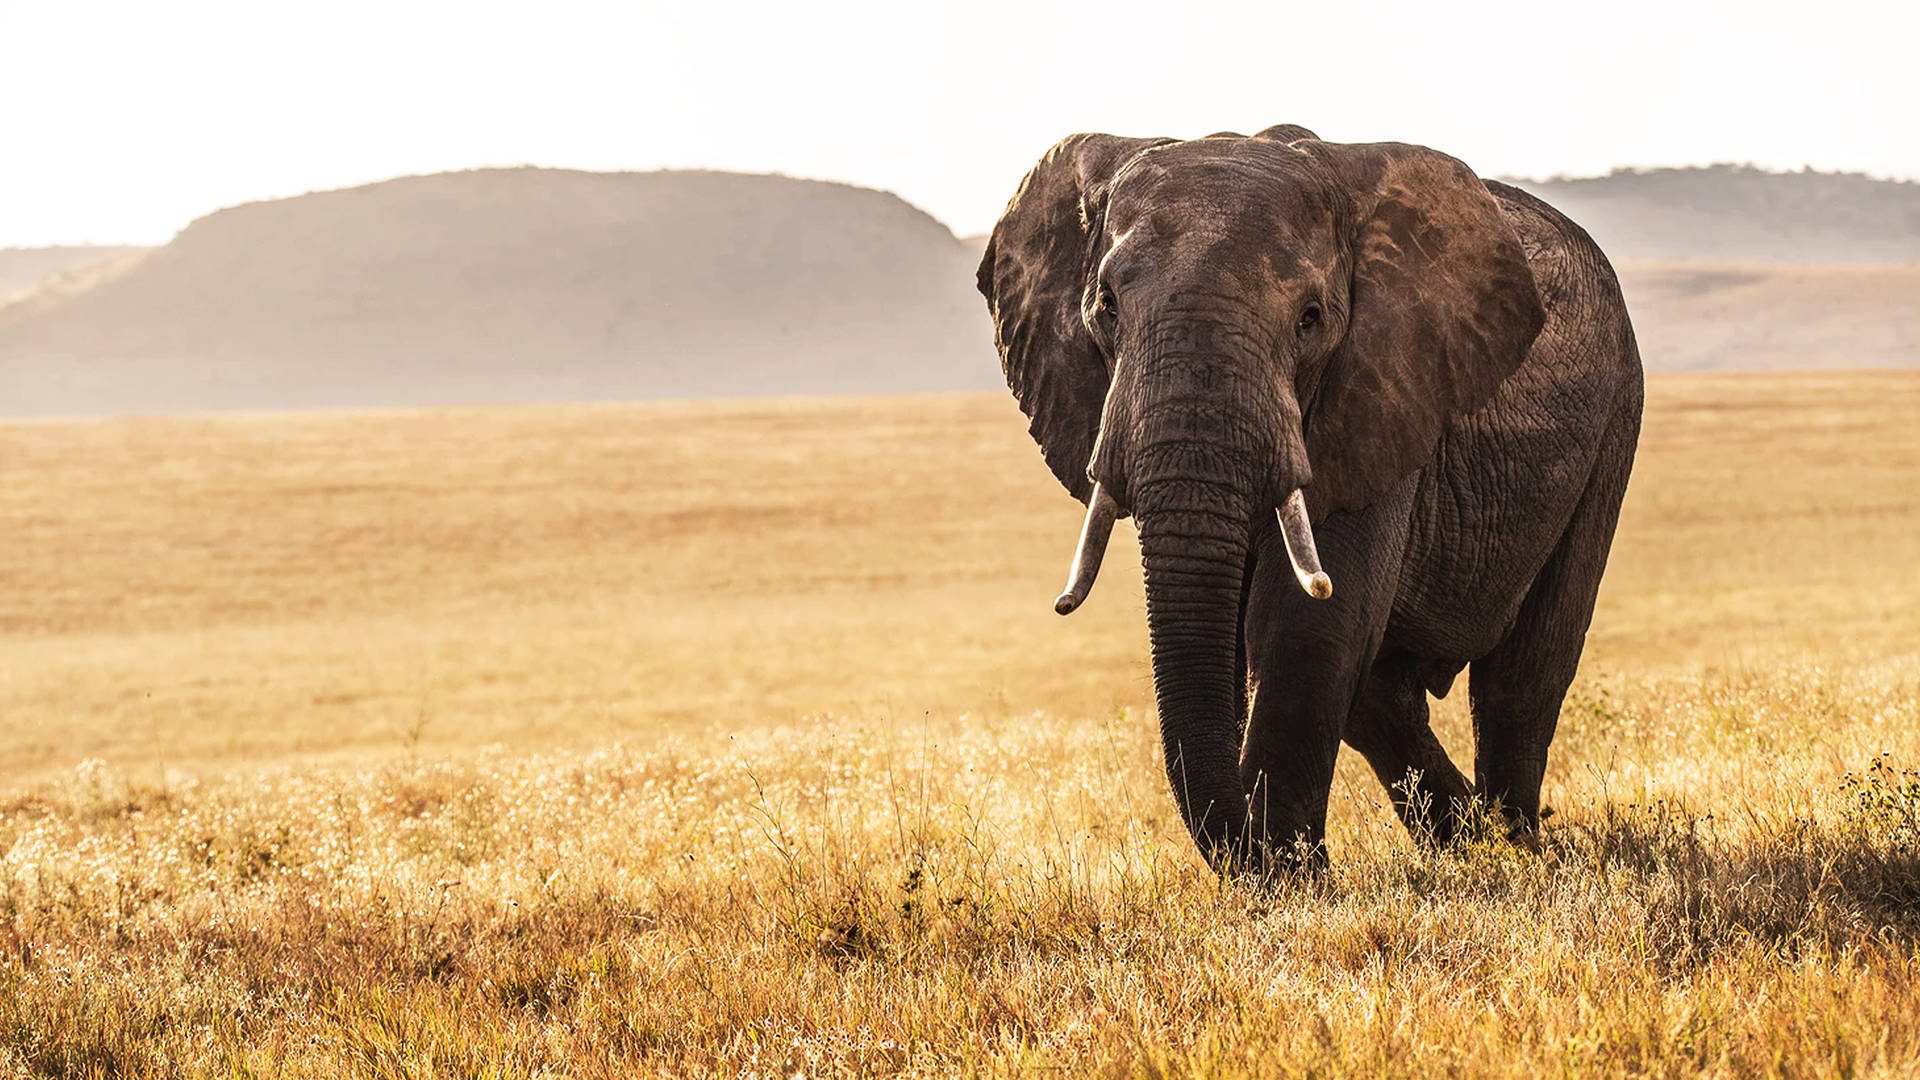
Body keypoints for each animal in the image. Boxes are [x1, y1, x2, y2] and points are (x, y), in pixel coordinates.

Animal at [976, 126, 1643, 872]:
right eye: (1106, 307)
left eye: (1310, 319)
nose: (1252, 845)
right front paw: (1285, 871)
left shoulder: (1382, 389)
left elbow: (1307, 625)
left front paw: (1291, 880)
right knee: (1383, 695)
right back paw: (1466, 844)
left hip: (1616, 417)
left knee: (1523, 674)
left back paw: (1513, 850)